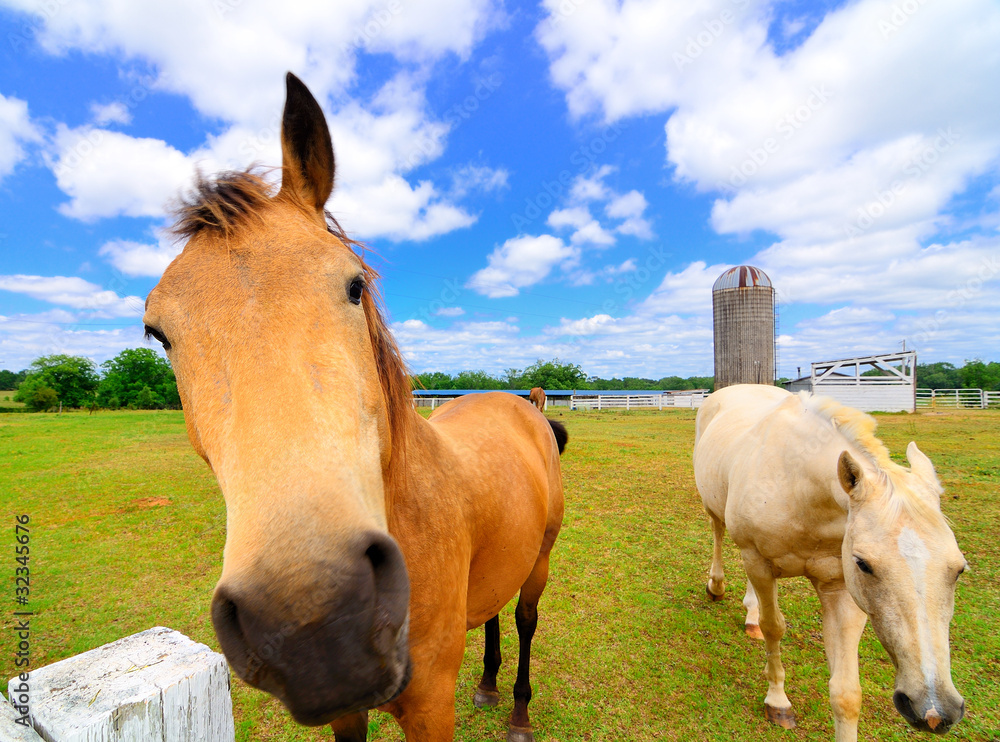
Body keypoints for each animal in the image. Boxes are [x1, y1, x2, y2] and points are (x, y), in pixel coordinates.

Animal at [148, 72, 572, 740]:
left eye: (354, 285)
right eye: (157, 332)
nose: (312, 621)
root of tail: (520, 404)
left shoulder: (430, 707)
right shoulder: (347, 714)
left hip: (540, 562)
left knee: (525, 620)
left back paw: (519, 710)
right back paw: (485, 683)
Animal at [692, 386, 964, 740]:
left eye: (958, 569)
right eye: (864, 564)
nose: (933, 711)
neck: (799, 486)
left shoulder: (840, 588)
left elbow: (847, 694)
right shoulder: (761, 563)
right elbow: (774, 628)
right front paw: (777, 702)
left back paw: (750, 618)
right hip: (718, 512)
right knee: (718, 532)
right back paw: (716, 586)